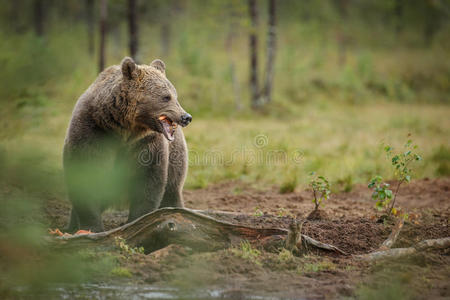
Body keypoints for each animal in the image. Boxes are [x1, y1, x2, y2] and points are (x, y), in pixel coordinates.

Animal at [62, 57, 192, 233]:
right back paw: (71, 227)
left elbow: (149, 184)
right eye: (166, 97)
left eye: (175, 96)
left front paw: (137, 222)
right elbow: (85, 178)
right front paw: (93, 227)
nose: (186, 117)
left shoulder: (146, 146)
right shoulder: (92, 133)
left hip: (175, 155)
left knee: (172, 187)